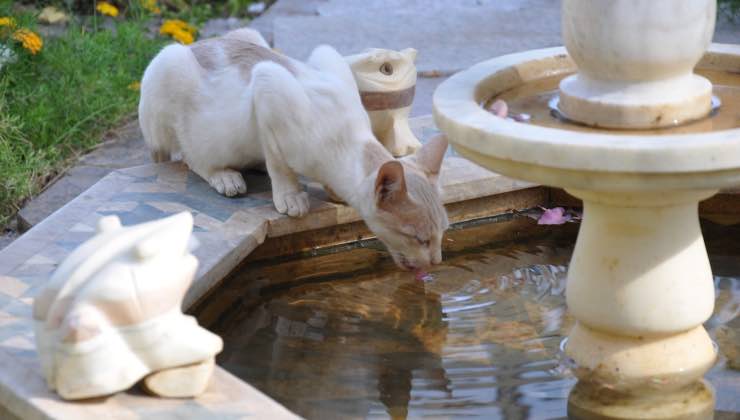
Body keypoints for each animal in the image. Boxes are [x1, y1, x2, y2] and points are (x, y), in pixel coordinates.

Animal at [139, 30, 450, 272]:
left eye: (442, 234)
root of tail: (197, 43)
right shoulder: (267, 84)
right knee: (188, 156)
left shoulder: (327, 56)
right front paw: (291, 196)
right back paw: (225, 176)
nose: (437, 261)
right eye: (420, 239)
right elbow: (278, 162)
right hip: (168, 67)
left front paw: (334, 193)